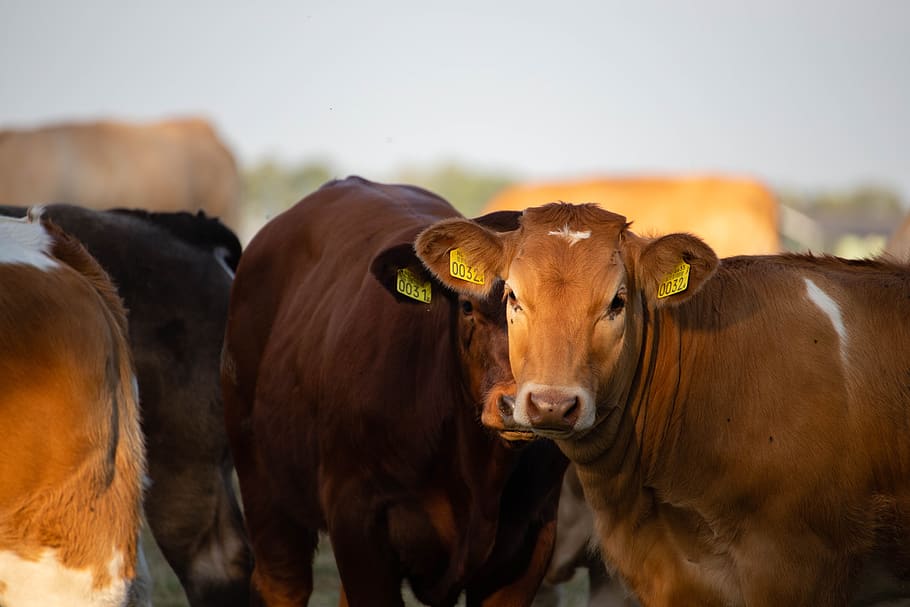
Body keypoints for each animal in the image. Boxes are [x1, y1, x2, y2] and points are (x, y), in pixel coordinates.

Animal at [221, 176, 567, 606]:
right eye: (468, 307)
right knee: (281, 582)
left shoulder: (532, 537)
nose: (519, 403)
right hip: (263, 487)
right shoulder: (357, 516)